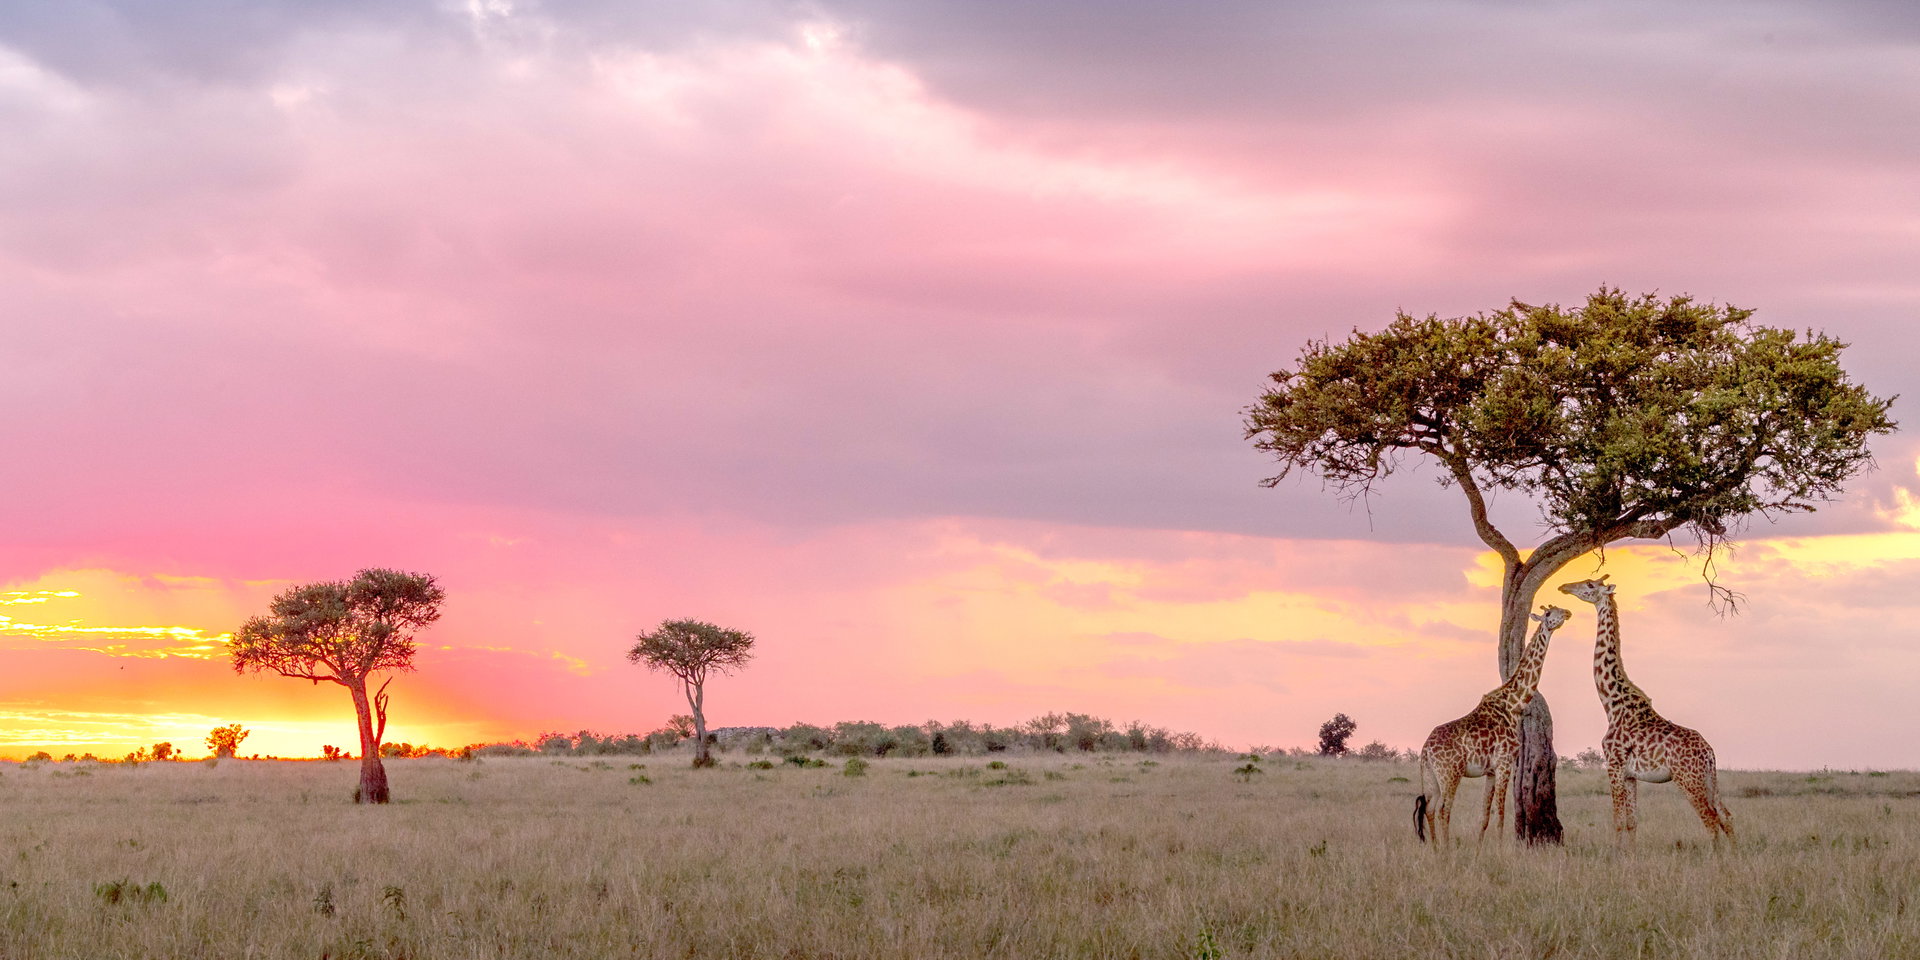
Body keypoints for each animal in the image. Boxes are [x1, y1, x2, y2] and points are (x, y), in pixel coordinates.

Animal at [1415, 604, 1570, 845]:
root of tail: (1426, 750)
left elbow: (1484, 816)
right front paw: (1500, 851)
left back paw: (1435, 849)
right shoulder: (1504, 763)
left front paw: (1480, 849)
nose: (1567, 613)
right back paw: (1446, 849)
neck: (1514, 705)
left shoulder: (1490, 771)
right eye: (1548, 613)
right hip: (1450, 774)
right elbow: (1501, 815)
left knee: (1430, 809)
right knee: (1443, 811)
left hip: (1431, 776)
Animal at [1558, 575, 1735, 848]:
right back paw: (1735, 854)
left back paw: (1716, 856)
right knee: (1726, 816)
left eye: (1589, 585)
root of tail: (1709, 753)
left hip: (1688, 780)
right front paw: (1631, 854)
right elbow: (1632, 822)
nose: (1564, 587)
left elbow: (1618, 820)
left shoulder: (1614, 765)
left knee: (1710, 819)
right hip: (1709, 779)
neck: (1611, 705)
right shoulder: (1631, 775)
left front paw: (1615, 854)